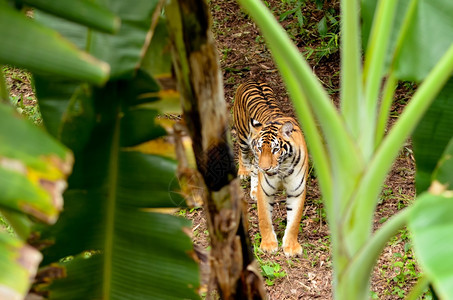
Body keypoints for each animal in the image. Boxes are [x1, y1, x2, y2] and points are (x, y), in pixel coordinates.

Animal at [233, 79, 308, 255]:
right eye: (260, 148)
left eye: (275, 150)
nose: (265, 169)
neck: (282, 169)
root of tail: (252, 79)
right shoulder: (265, 190)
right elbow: (264, 218)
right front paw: (268, 245)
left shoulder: (297, 190)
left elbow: (294, 222)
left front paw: (291, 247)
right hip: (243, 137)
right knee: (244, 155)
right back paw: (244, 172)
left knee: (254, 167)